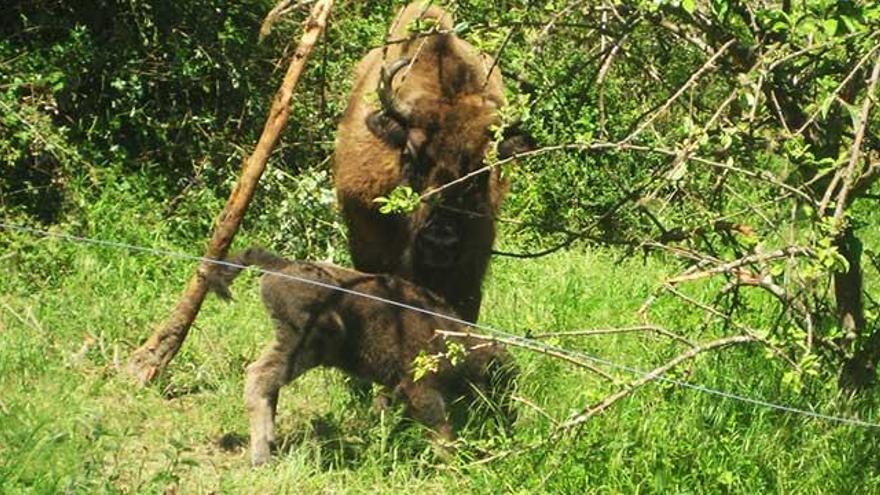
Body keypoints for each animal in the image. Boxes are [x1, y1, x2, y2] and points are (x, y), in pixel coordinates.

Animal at [208, 248, 516, 468]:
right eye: (497, 382)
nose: (508, 419)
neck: (458, 344)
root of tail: (281, 265)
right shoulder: (420, 388)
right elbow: (440, 427)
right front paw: (456, 462)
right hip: (303, 346)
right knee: (258, 376)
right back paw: (261, 456)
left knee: (269, 382)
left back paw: (271, 441)